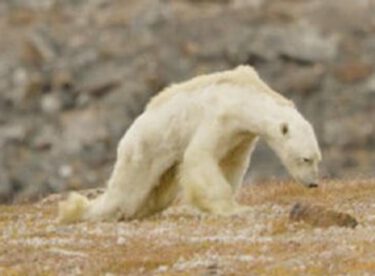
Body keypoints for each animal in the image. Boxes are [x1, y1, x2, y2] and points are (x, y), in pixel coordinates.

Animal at [58, 64, 324, 222]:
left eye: (317, 159)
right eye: (305, 158)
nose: (313, 183)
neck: (245, 96)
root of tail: (129, 134)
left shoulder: (241, 135)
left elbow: (232, 163)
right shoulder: (219, 116)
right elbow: (200, 156)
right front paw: (234, 209)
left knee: (156, 194)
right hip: (144, 149)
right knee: (126, 193)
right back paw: (77, 210)